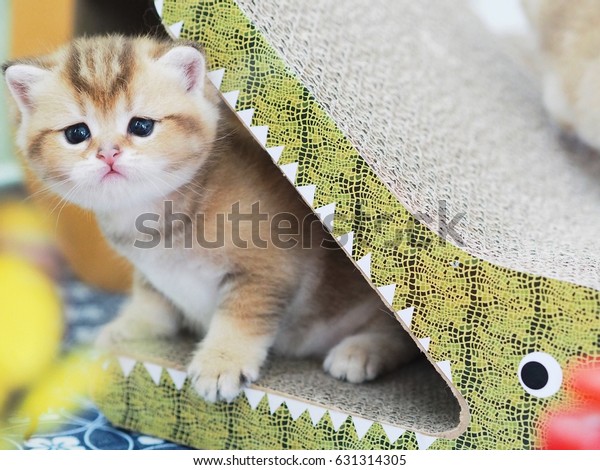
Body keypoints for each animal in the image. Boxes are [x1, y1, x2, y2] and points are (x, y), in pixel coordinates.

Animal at [3, 35, 418, 402]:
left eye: (141, 126)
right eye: (77, 133)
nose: (108, 154)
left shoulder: (267, 268)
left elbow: (240, 317)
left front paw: (222, 363)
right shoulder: (151, 272)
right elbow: (151, 298)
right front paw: (127, 328)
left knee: (398, 338)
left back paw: (360, 351)